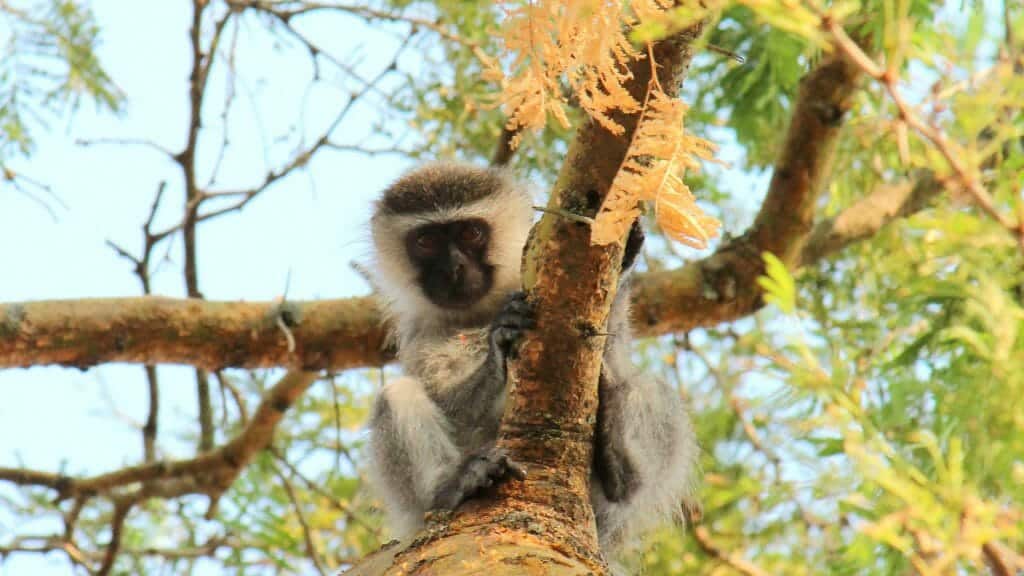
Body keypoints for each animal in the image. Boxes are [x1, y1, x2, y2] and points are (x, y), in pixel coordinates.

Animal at [365, 162, 699, 558]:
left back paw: (620, 468)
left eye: (471, 233)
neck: (480, 311)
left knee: (649, 388)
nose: (453, 268)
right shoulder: (420, 334)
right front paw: (498, 345)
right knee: (396, 395)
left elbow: (607, 355)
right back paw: (453, 485)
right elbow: (451, 407)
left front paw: (624, 259)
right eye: (426, 242)